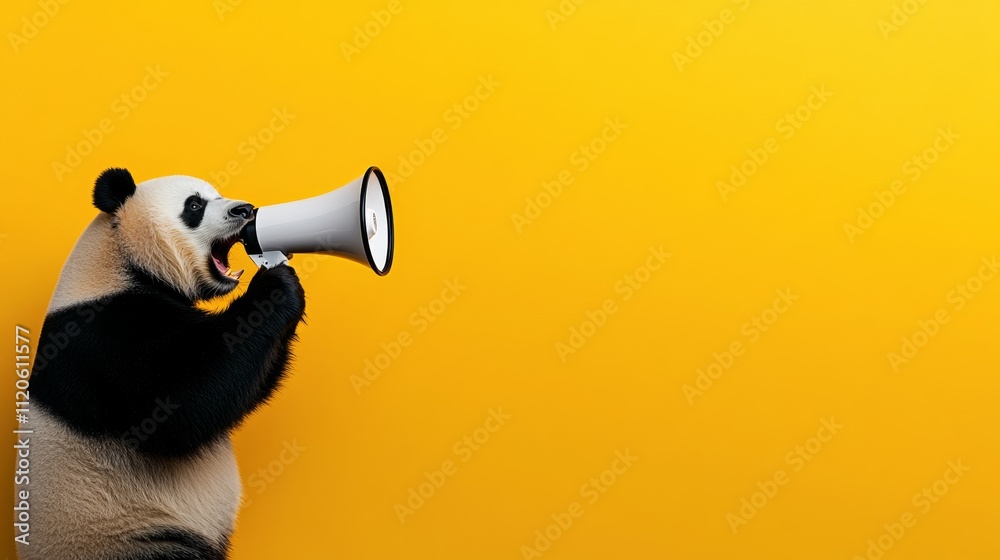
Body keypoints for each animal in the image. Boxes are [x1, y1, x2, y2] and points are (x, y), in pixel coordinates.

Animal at [20, 168, 306, 560]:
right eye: (195, 205)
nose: (246, 210)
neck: (119, 260)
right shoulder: (103, 336)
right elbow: (178, 407)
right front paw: (276, 285)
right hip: (125, 533)